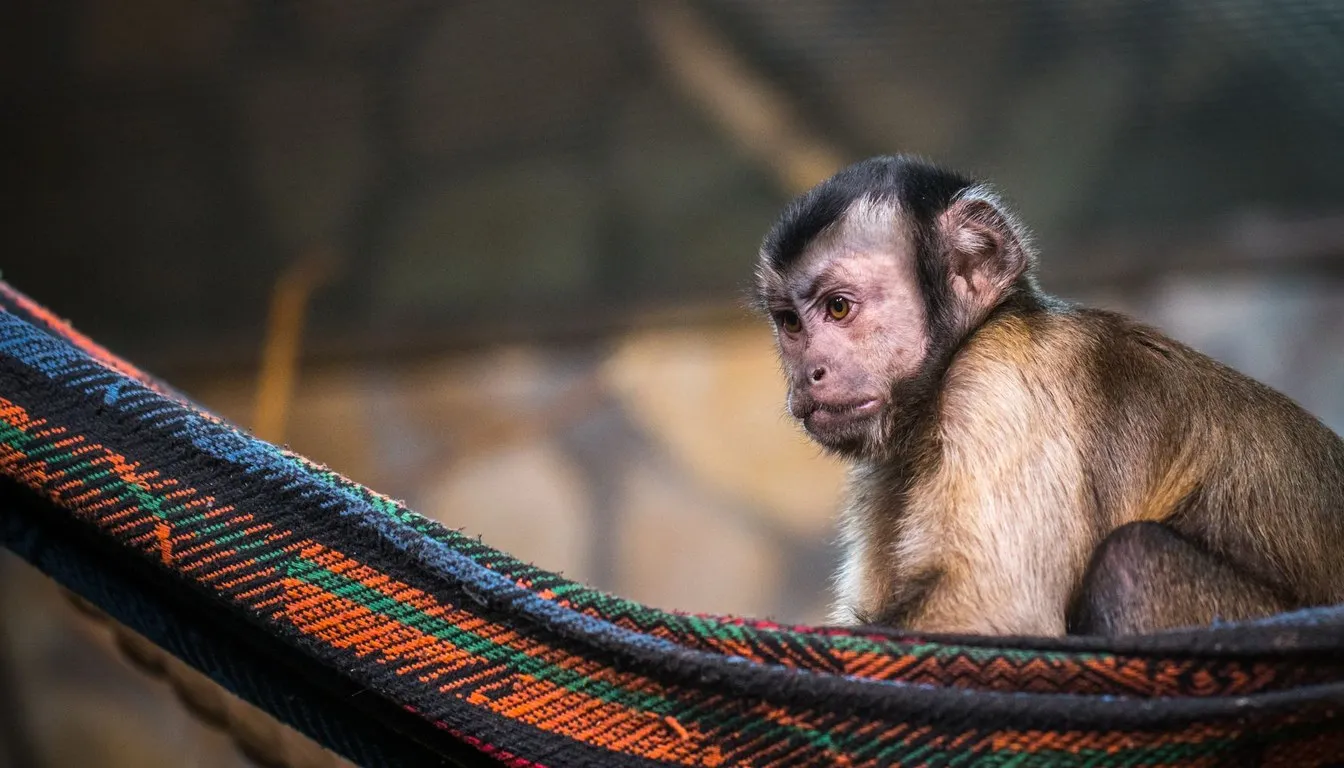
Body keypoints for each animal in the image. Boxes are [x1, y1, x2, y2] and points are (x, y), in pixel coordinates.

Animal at [752, 155, 1344, 637]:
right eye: (790, 323)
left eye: (838, 308)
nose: (809, 374)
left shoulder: (1000, 376)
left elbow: (993, 608)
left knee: (1131, 562)